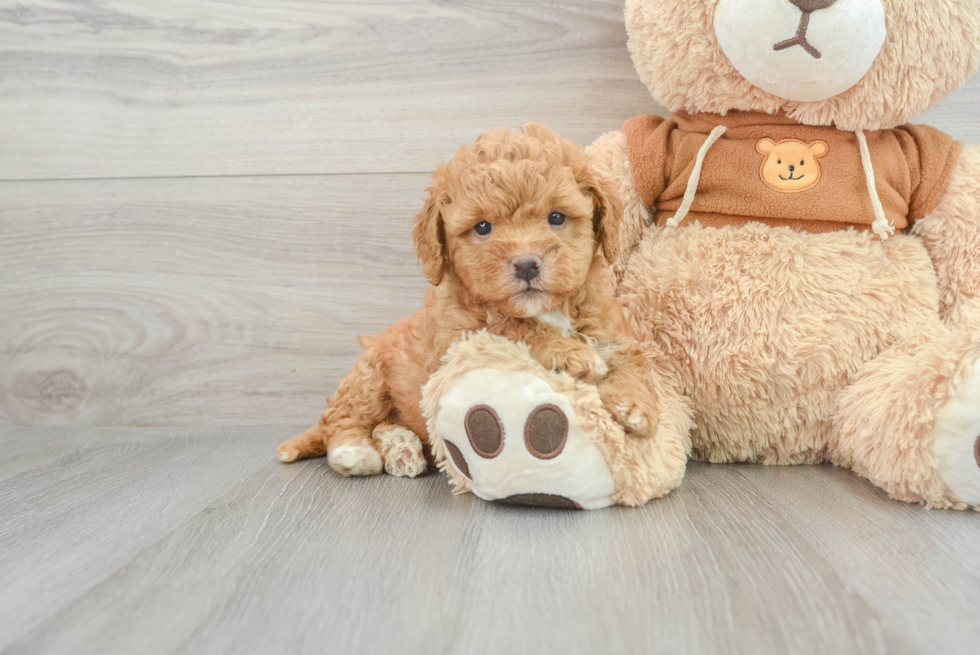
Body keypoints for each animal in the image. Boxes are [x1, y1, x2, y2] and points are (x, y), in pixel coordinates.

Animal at [276, 125, 660, 480]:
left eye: (556, 217)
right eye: (483, 227)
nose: (526, 264)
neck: (547, 311)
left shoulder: (609, 329)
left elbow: (632, 362)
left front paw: (635, 406)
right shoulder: (454, 345)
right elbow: (510, 328)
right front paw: (572, 355)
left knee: (381, 424)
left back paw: (402, 449)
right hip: (369, 377)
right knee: (339, 418)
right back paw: (355, 452)